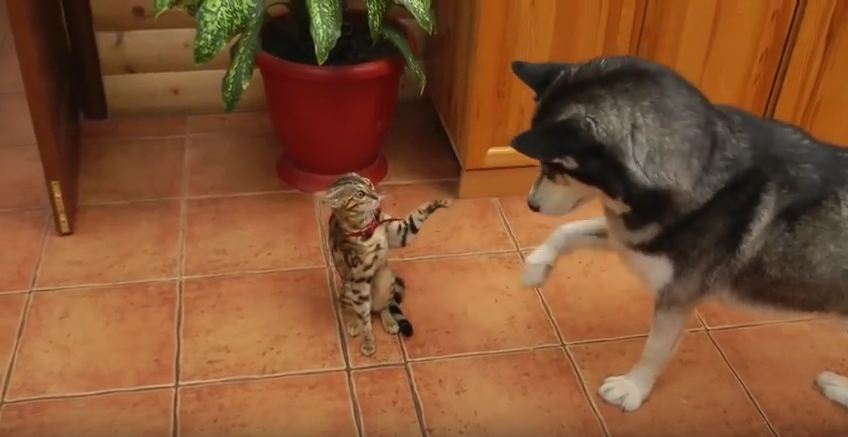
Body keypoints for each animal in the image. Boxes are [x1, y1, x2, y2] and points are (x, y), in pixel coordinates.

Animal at [322, 172, 450, 356]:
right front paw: (368, 341)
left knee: (384, 306)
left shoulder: (399, 233)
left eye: (369, 184)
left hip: (386, 278)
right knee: (351, 308)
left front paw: (438, 202)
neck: (368, 226)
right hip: (348, 287)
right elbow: (364, 318)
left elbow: (416, 217)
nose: (376, 196)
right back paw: (353, 323)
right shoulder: (359, 279)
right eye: (360, 194)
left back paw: (389, 320)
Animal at [506, 56, 848, 410]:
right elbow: (567, 230)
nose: (531, 204)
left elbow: (655, 348)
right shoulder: (633, 236)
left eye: (556, 166)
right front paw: (537, 266)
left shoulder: (676, 296)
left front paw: (633, 387)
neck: (702, 169)